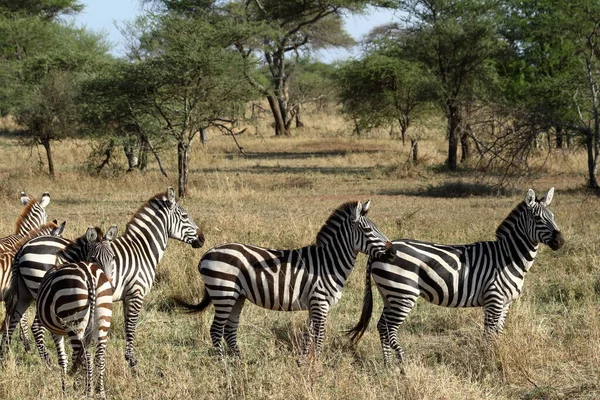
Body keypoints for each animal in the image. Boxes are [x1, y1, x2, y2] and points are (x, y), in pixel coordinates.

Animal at [1, 188, 206, 368]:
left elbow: (126, 326)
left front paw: (127, 358)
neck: (142, 250)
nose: (202, 239)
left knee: (13, 319)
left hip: (25, 293)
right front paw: (131, 361)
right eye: (185, 216)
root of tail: (23, 247)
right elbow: (131, 327)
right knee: (36, 326)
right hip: (44, 295)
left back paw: (6, 357)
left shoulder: (126, 296)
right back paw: (49, 363)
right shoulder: (136, 293)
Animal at [173, 200, 396, 362]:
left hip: (237, 297)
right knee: (216, 330)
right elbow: (320, 336)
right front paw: (318, 364)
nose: (393, 252)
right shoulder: (320, 302)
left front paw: (304, 362)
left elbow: (308, 335)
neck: (328, 263)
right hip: (224, 294)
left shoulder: (313, 304)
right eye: (368, 231)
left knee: (229, 330)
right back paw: (222, 364)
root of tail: (208, 253)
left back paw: (239, 361)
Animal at [350, 188, 564, 366]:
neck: (508, 257)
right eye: (537, 218)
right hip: (403, 293)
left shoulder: (505, 303)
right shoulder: (494, 299)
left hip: (390, 294)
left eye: (553, 216)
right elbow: (489, 335)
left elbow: (498, 333)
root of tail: (382, 251)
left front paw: (496, 356)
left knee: (382, 326)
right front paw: (488, 361)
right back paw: (401, 364)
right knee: (389, 328)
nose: (560, 241)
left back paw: (388, 365)